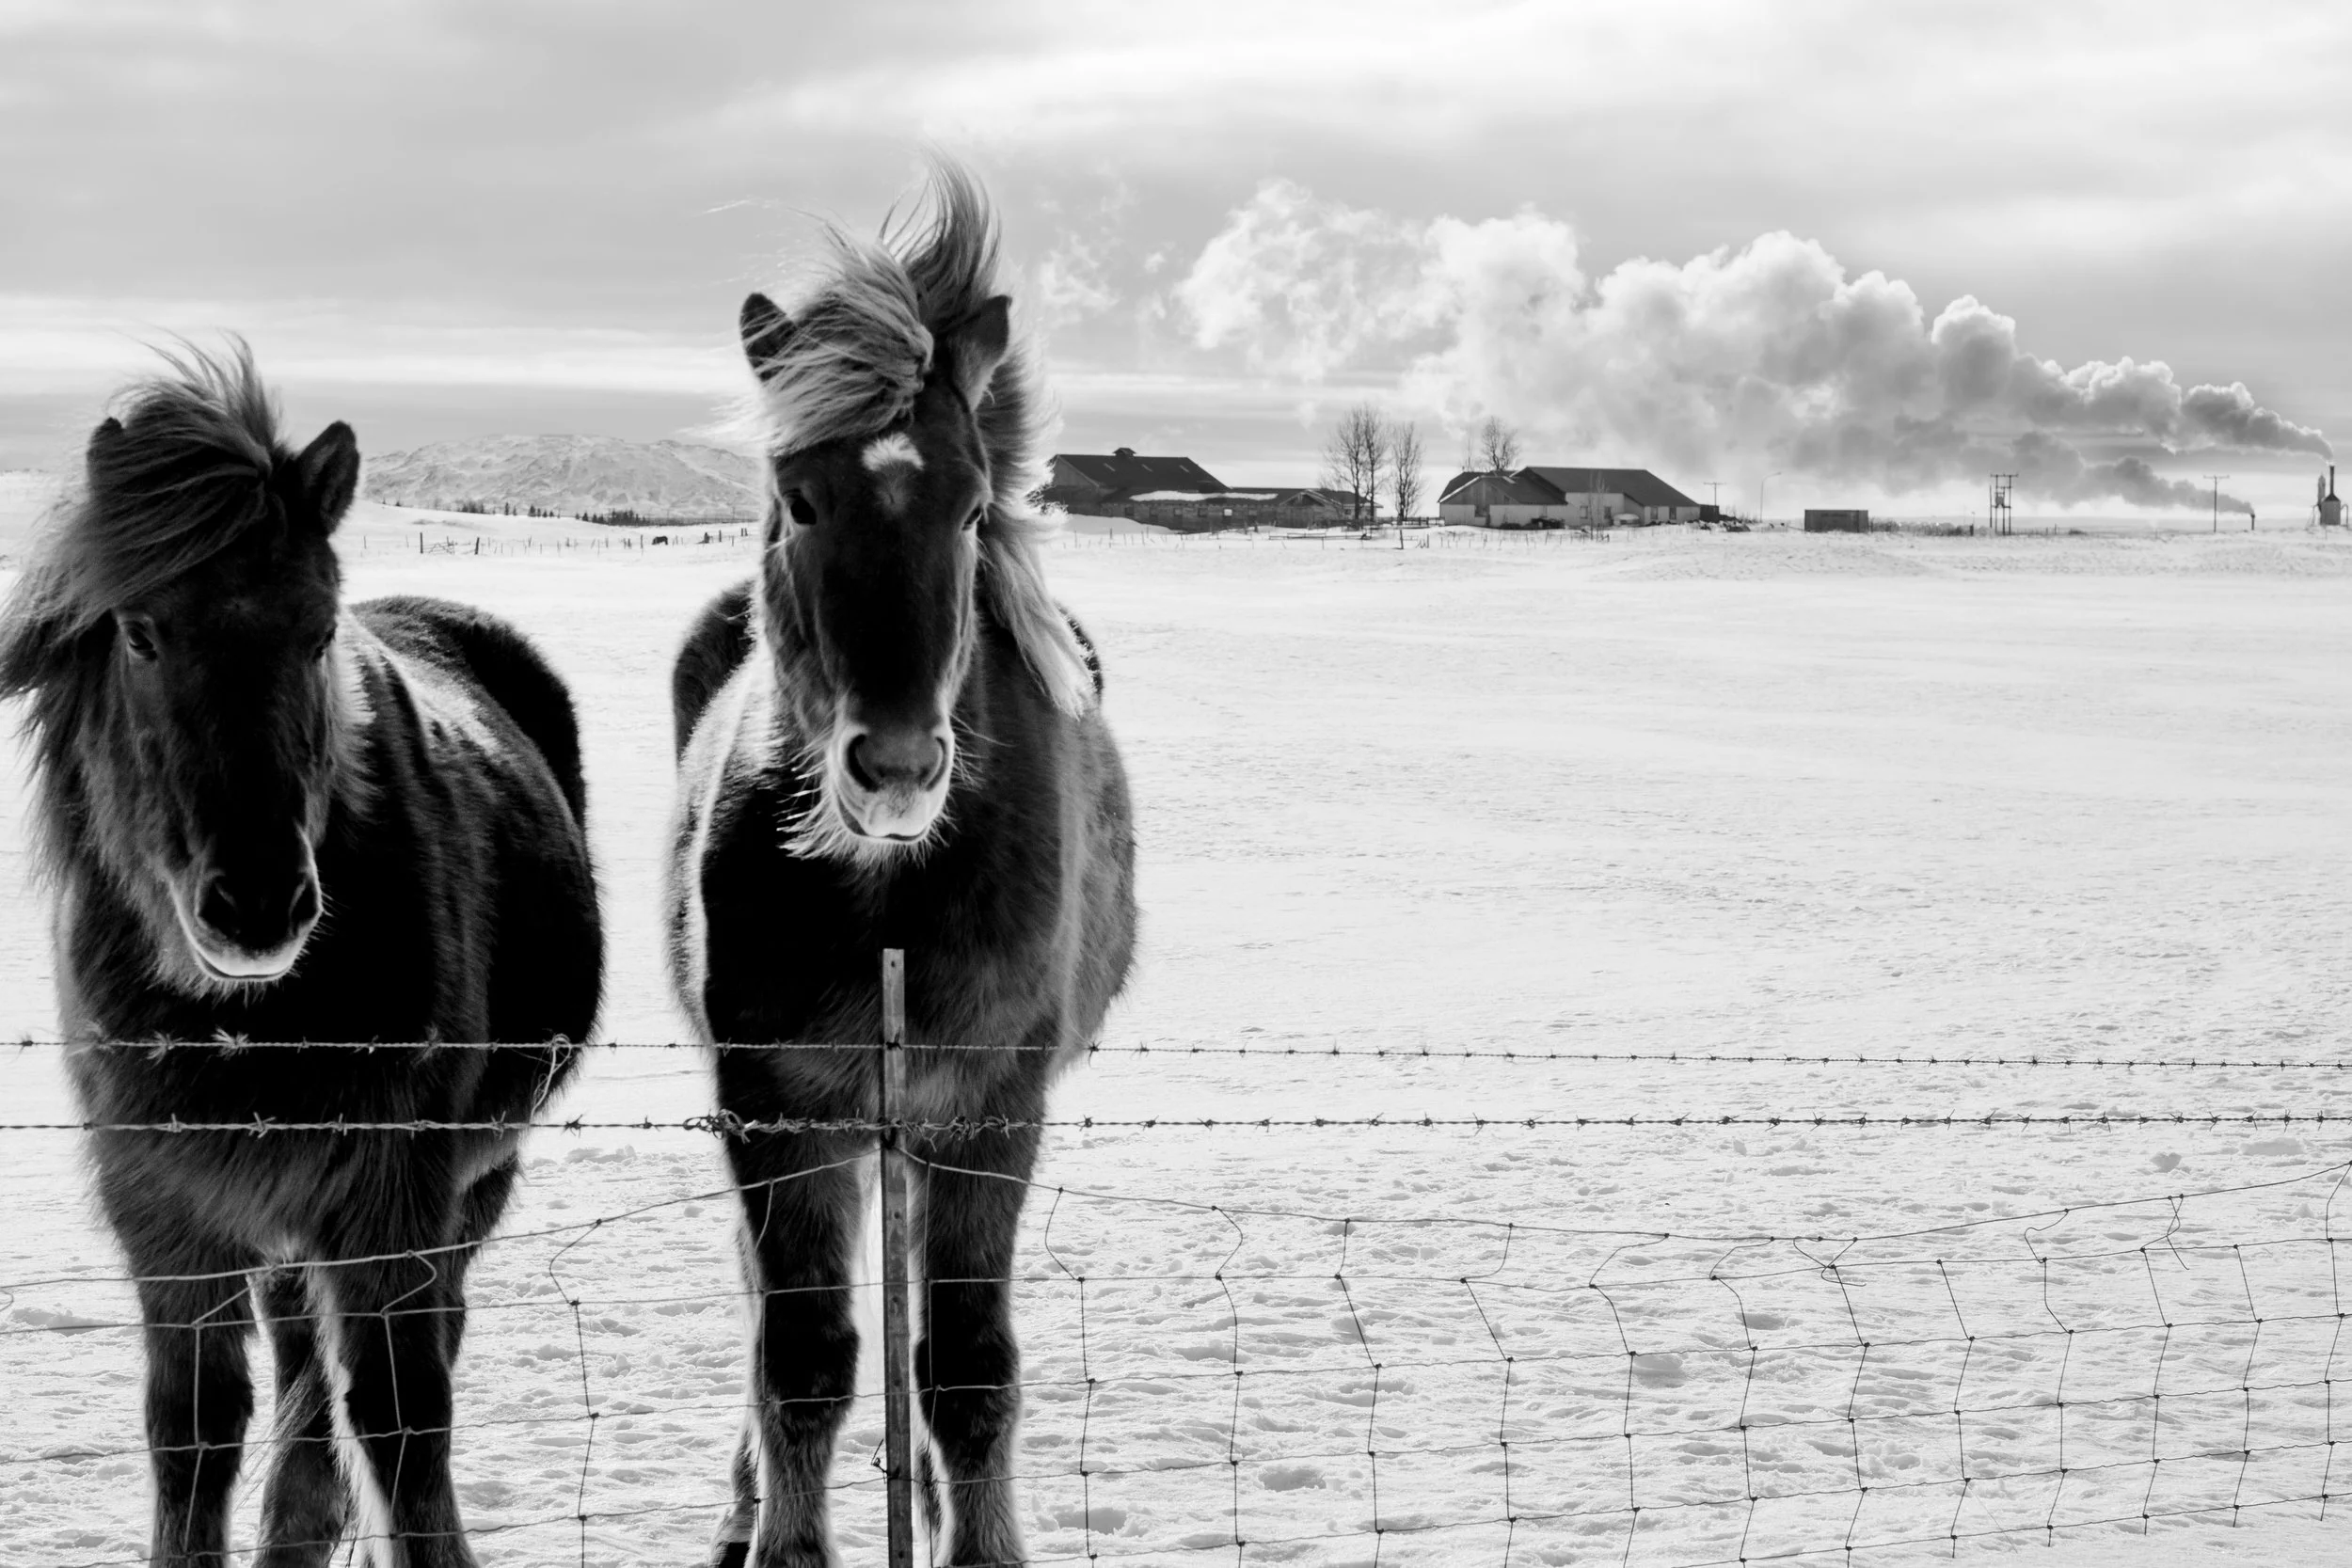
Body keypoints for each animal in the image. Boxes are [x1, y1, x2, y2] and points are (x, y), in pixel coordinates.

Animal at [0, 345, 603, 1567]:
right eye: (140, 631)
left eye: (318, 631)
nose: (258, 904)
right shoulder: (166, 1213)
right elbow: (194, 1431)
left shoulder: (385, 1198)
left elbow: (399, 1423)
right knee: (296, 1366)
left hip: (468, 1183)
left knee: (380, 1361)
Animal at [664, 164, 1136, 1567]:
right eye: (798, 493)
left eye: (972, 507)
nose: (896, 766)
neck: (889, 896)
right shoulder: (774, 1105)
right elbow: (801, 1360)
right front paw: (779, 1539)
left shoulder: (990, 1108)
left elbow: (968, 1367)